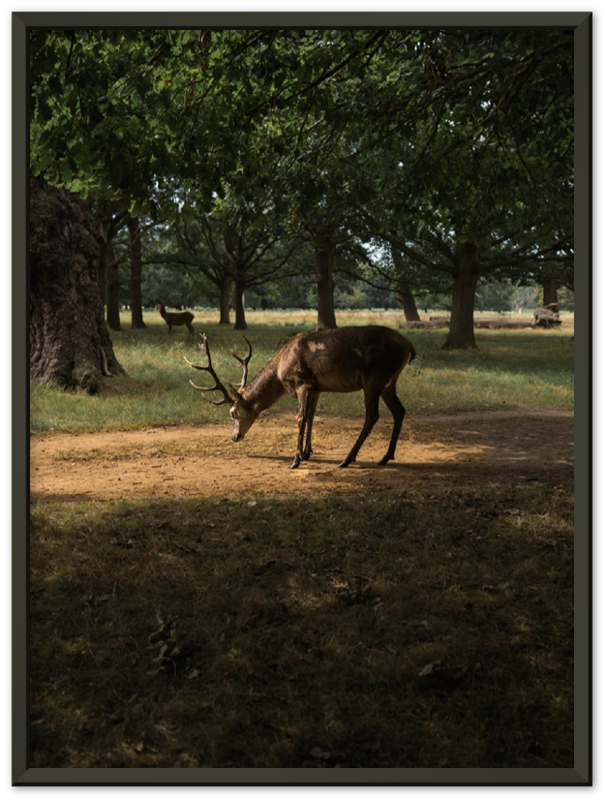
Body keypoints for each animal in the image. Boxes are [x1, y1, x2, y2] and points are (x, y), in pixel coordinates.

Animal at [185, 326, 416, 470]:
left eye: (232, 413)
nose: (234, 437)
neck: (280, 371)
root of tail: (408, 345)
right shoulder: (316, 388)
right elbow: (312, 417)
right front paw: (307, 452)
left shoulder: (302, 382)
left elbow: (300, 419)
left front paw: (296, 459)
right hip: (389, 382)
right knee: (400, 410)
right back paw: (385, 457)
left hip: (374, 378)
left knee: (373, 415)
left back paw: (348, 459)